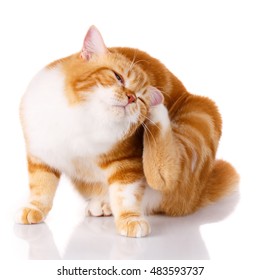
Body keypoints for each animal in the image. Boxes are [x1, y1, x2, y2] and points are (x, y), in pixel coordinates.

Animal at [16, 26, 240, 237]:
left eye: (140, 98)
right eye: (118, 77)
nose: (132, 98)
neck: (84, 118)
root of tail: (200, 192)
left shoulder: (125, 163)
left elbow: (126, 195)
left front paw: (130, 219)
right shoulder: (40, 155)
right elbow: (41, 187)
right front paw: (34, 209)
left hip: (201, 115)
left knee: (165, 173)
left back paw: (157, 108)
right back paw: (103, 205)